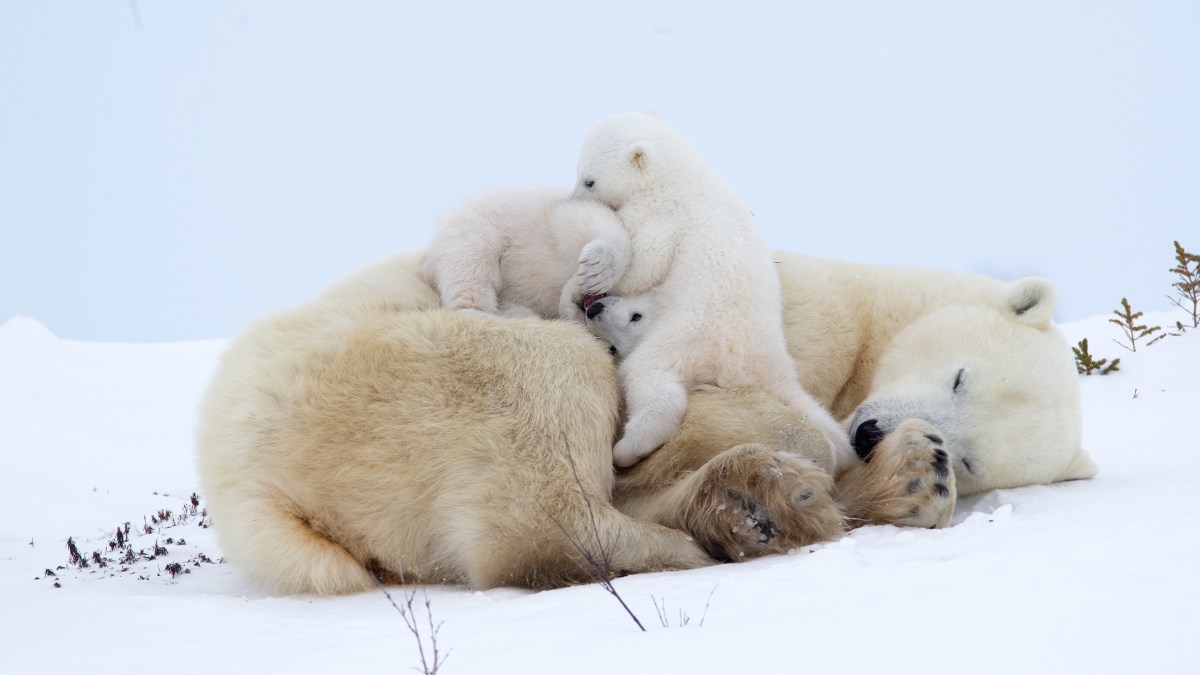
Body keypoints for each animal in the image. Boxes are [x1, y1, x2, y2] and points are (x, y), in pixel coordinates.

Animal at [195, 249, 1096, 593]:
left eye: (980, 458)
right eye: (959, 372)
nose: (872, 431)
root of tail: (243, 480)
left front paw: (919, 469)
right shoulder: (781, 309)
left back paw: (804, 497)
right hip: (393, 366)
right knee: (552, 428)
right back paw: (759, 507)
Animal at [570, 111, 852, 471]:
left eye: (589, 180)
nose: (571, 200)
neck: (685, 176)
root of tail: (750, 365)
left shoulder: (665, 214)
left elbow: (645, 263)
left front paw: (596, 271)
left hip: (688, 335)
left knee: (649, 376)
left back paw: (629, 448)